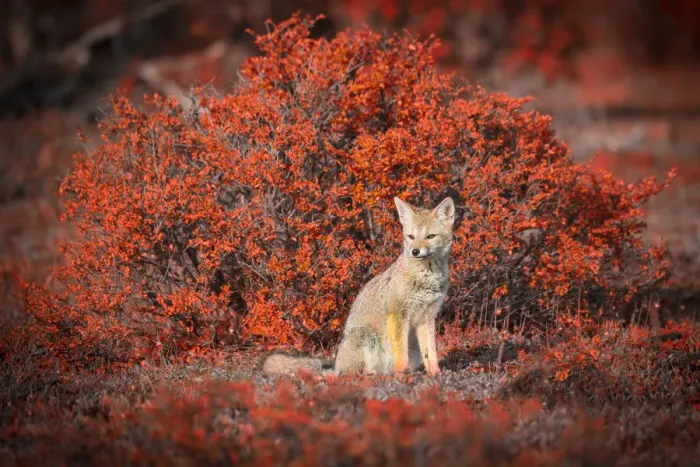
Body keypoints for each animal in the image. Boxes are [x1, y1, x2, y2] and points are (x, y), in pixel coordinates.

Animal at [262, 196, 455, 377]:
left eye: (430, 236)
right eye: (411, 237)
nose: (415, 251)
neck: (426, 278)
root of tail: (336, 365)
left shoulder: (427, 316)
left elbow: (431, 352)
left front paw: (435, 373)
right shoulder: (398, 314)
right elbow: (400, 354)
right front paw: (402, 374)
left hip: (411, 348)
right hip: (366, 338)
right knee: (352, 372)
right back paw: (373, 374)